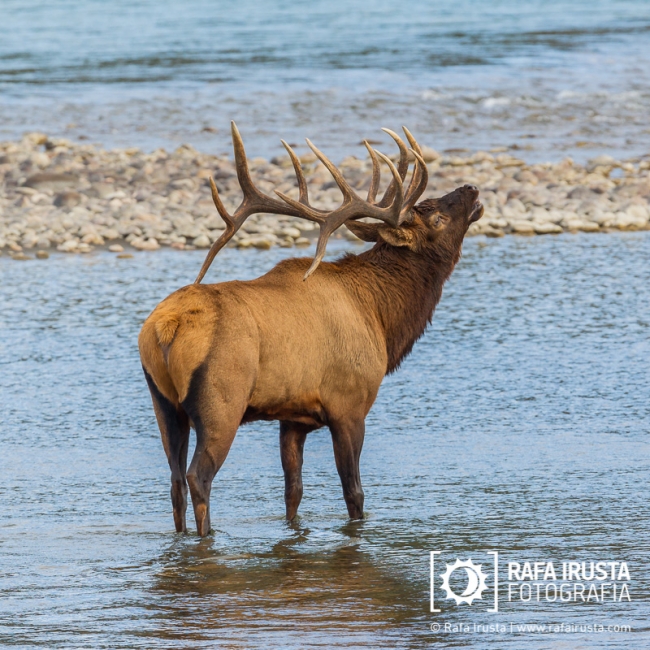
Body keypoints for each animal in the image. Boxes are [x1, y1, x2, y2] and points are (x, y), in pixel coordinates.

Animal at [138, 122, 484, 536]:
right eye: (435, 218)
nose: (472, 189)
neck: (380, 317)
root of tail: (165, 328)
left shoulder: (293, 417)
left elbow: (294, 492)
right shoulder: (349, 404)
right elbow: (354, 494)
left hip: (164, 403)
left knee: (175, 480)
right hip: (221, 401)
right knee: (197, 477)